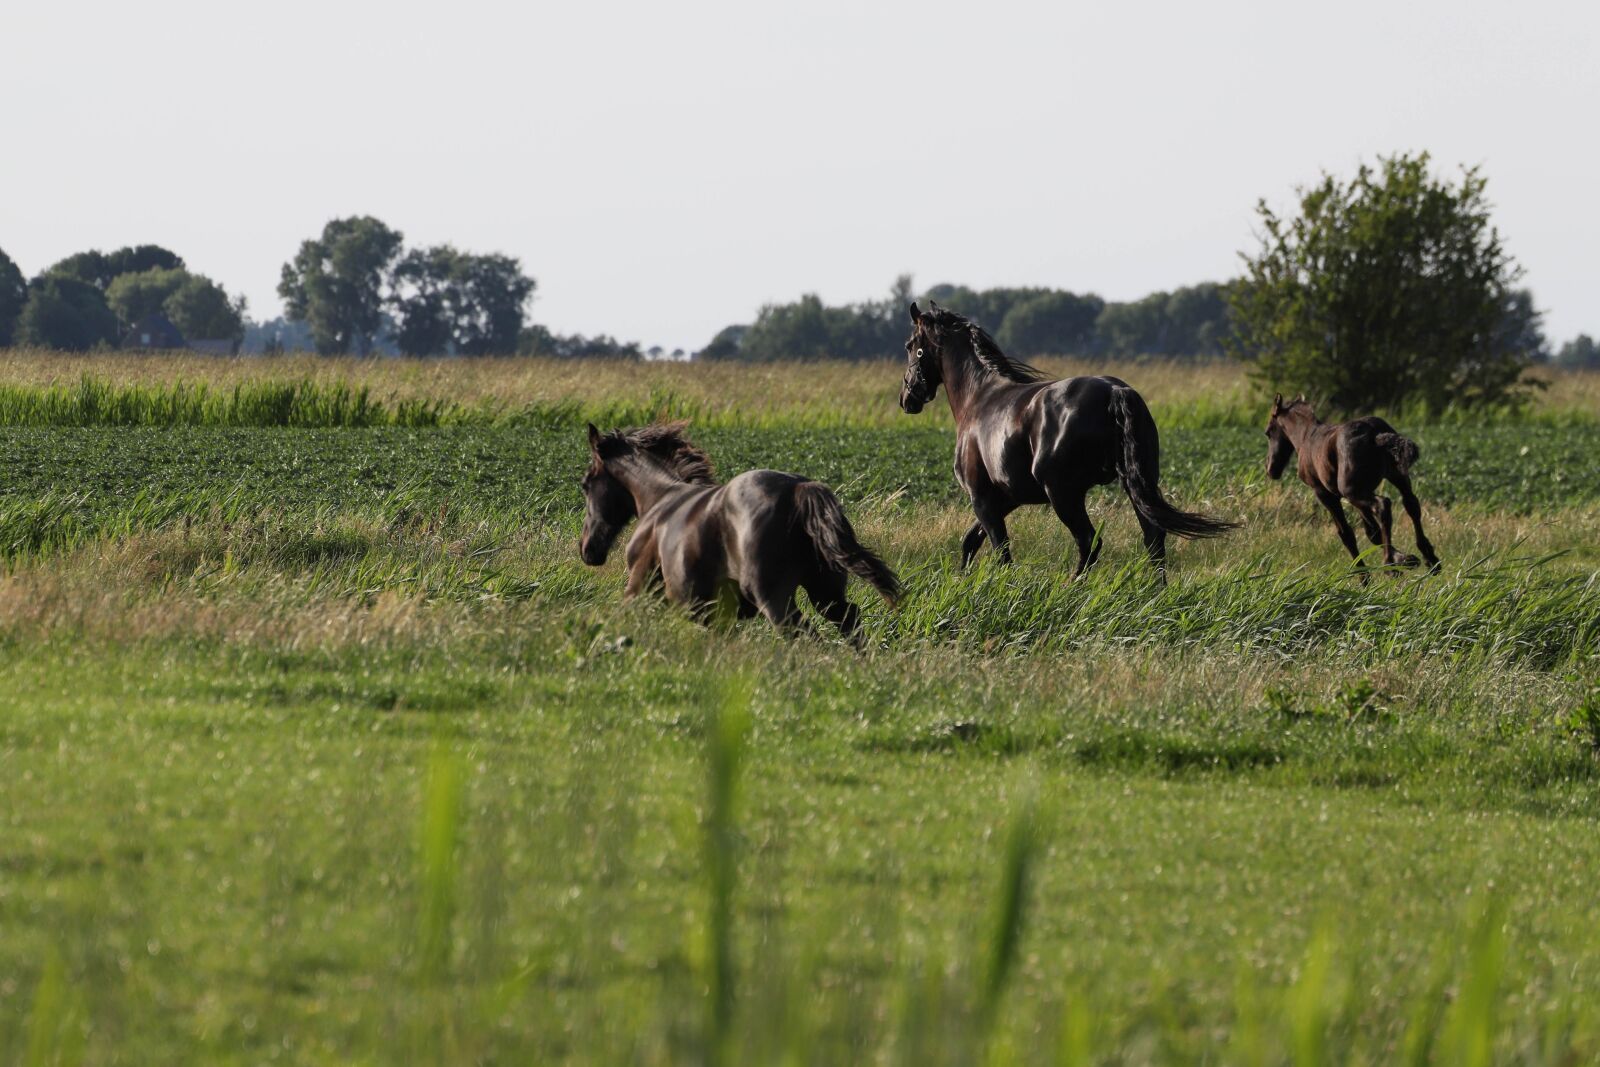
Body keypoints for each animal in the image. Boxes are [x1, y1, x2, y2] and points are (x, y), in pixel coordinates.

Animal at [902, 300, 1235, 575]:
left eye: (909, 345)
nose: (907, 398)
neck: (979, 397)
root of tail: (1115, 391)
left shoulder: (981, 495)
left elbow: (1000, 550)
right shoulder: (1008, 496)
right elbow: (971, 541)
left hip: (1063, 493)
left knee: (1089, 541)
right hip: (1136, 483)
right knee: (1153, 536)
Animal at [1267, 395, 1446, 575]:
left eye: (1268, 432)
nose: (1270, 469)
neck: (1306, 437)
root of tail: (1375, 433)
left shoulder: (1325, 494)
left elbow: (1346, 533)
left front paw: (1364, 574)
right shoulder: (1362, 494)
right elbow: (1372, 532)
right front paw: (1405, 558)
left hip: (1352, 492)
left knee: (1383, 505)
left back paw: (1389, 564)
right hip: (1395, 477)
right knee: (1411, 504)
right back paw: (1430, 559)